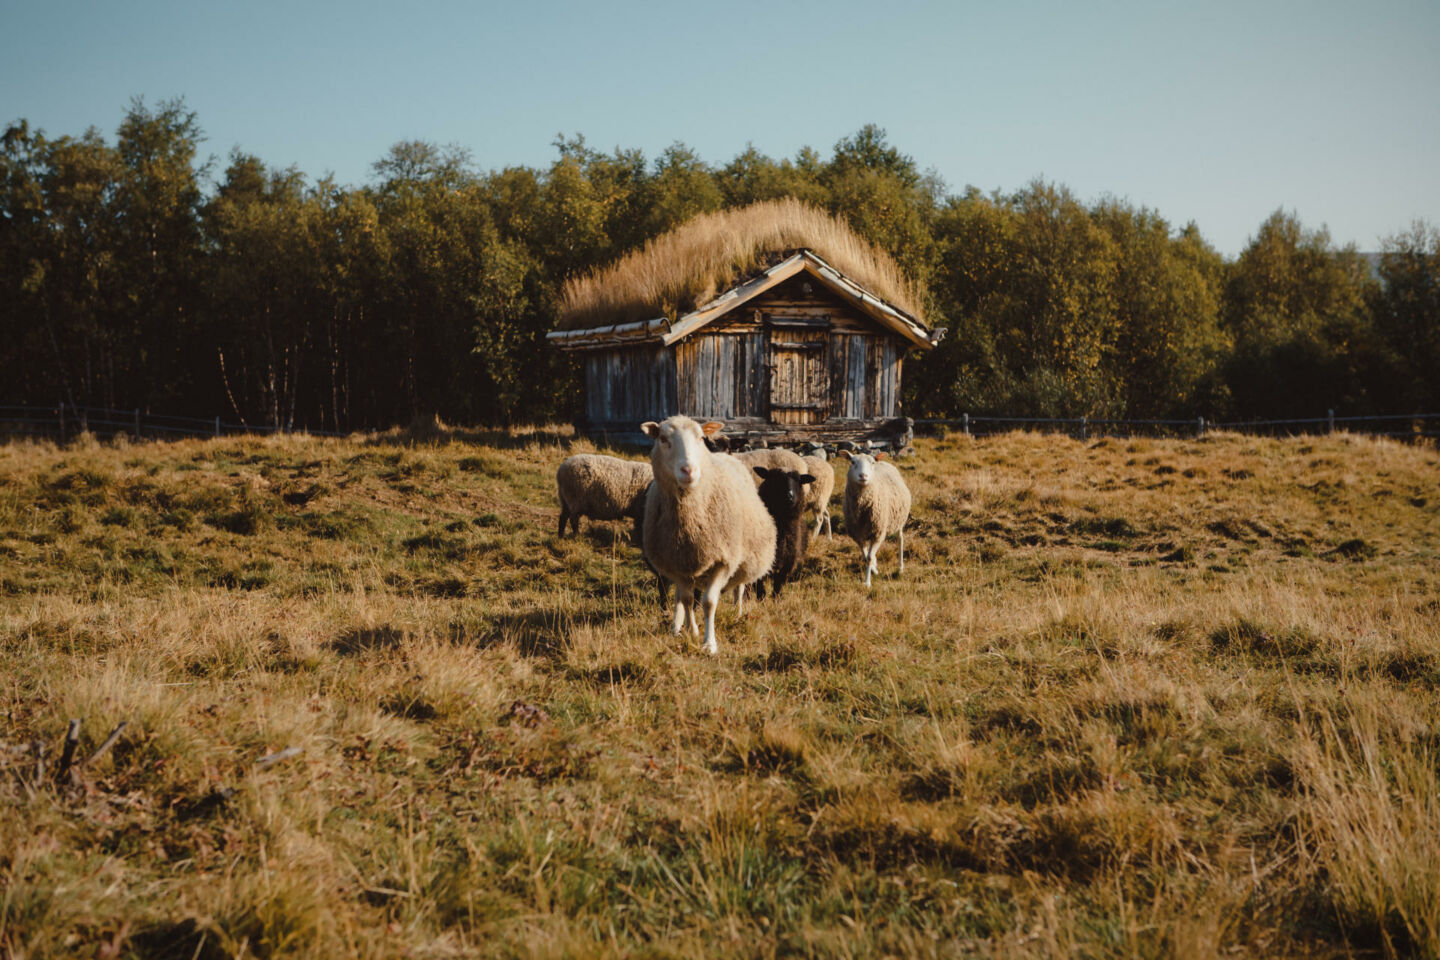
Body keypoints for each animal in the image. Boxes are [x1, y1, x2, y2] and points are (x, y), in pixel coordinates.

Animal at [642, 417, 777, 656]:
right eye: (663, 439)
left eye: (700, 438)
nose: (688, 470)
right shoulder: (677, 564)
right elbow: (687, 600)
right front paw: (692, 631)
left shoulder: (724, 560)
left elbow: (709, 602)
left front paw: (709, 644)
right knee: (679, 597)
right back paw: (677, 627)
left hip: (742, 554)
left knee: (739, 587)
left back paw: (737, 613)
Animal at [748, 466, 817, 601]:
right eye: (775, 478)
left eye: (799, 480)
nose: (789, 496)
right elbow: (759, 584)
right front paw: (761, 599)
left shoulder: (789, 561)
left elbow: (779, 583)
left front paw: (776, 599)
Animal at [840, 454, 915, 590]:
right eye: (852, 462)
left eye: (872, 463)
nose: (863, 476)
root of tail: (884, 462)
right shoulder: (858, 535)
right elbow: (866, 557)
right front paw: (874, 570)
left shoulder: (878, 533)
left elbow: (869, 557)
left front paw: (867, 582)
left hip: (899, 519)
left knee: (900, 539)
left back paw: (900, 567)